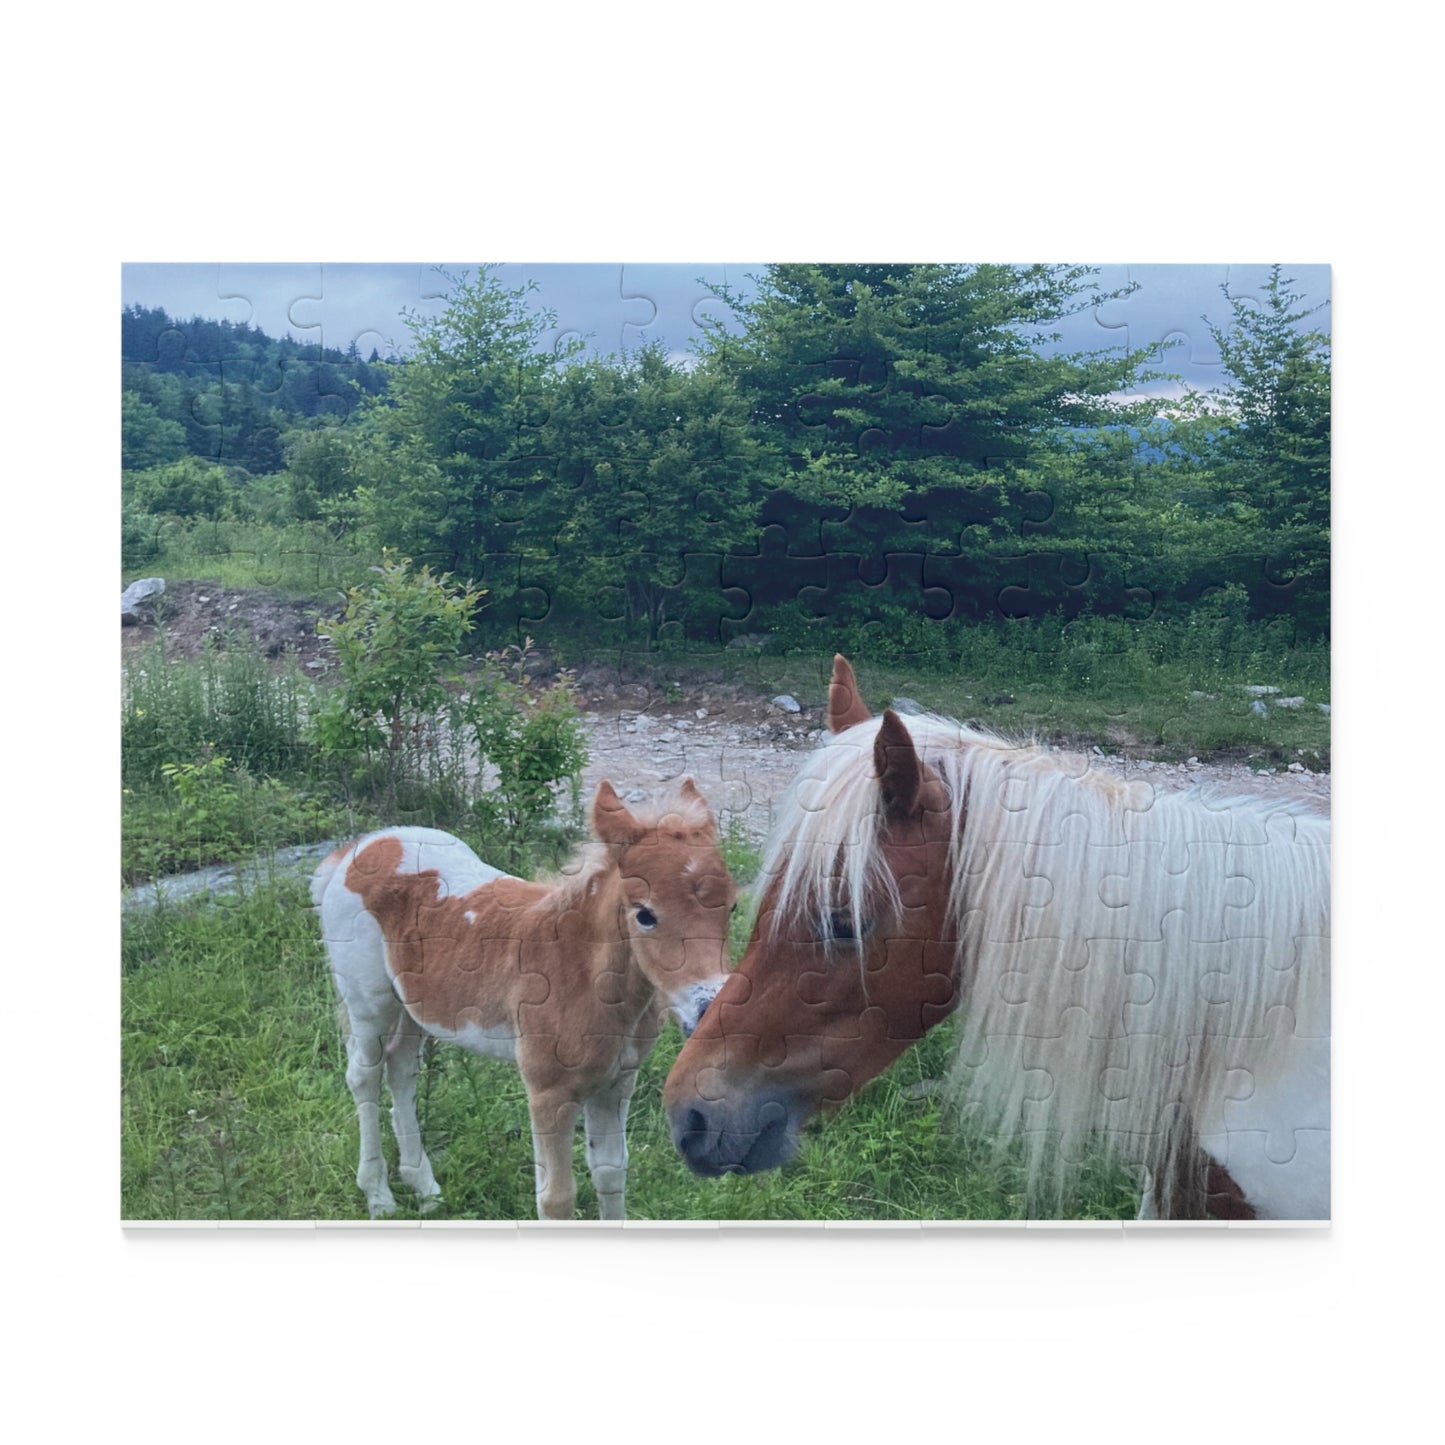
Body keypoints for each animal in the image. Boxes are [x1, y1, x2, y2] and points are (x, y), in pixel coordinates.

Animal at [313, 777, 737, 1220]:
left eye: (732, 907)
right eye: (645, 914)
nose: (708, 1009)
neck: (581, 974)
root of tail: (364, 845)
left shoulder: (617, 1082)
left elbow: (610, 1172)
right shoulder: (547, 1091)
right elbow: (555, 1198)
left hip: (414, 1005)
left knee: (400, 1068)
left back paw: (425, 1188)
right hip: (369, 1001)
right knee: (364, 1075)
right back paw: (379, 1197)